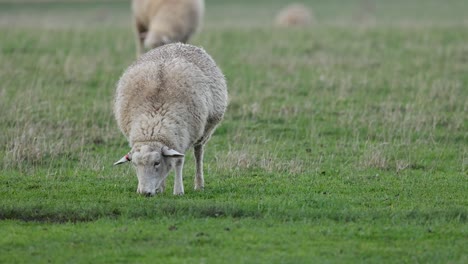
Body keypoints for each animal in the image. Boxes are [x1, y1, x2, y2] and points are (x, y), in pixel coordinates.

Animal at [112, 42, 228, 196]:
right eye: (135, 164)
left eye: (156, 163)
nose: (145, 193)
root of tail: (177, 44)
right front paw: (158, 188)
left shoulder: (182, 137)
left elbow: (178, 162)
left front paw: (178, 190)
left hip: (203, 132)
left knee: (198, 154)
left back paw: (199, 184)